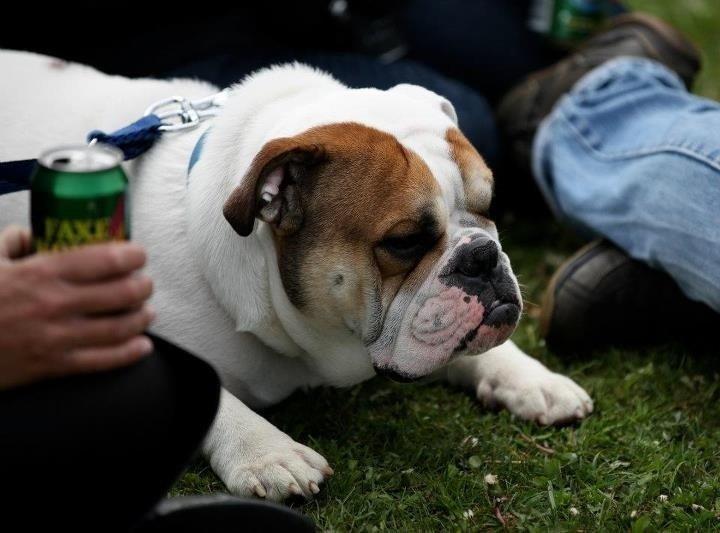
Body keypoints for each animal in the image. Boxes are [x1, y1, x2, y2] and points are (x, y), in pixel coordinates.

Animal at [1, 50, 592, 498]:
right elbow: (213, 395)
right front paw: (267, 453)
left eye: (489, 207)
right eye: (403, 242)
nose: (482, 257)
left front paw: (531, 378)